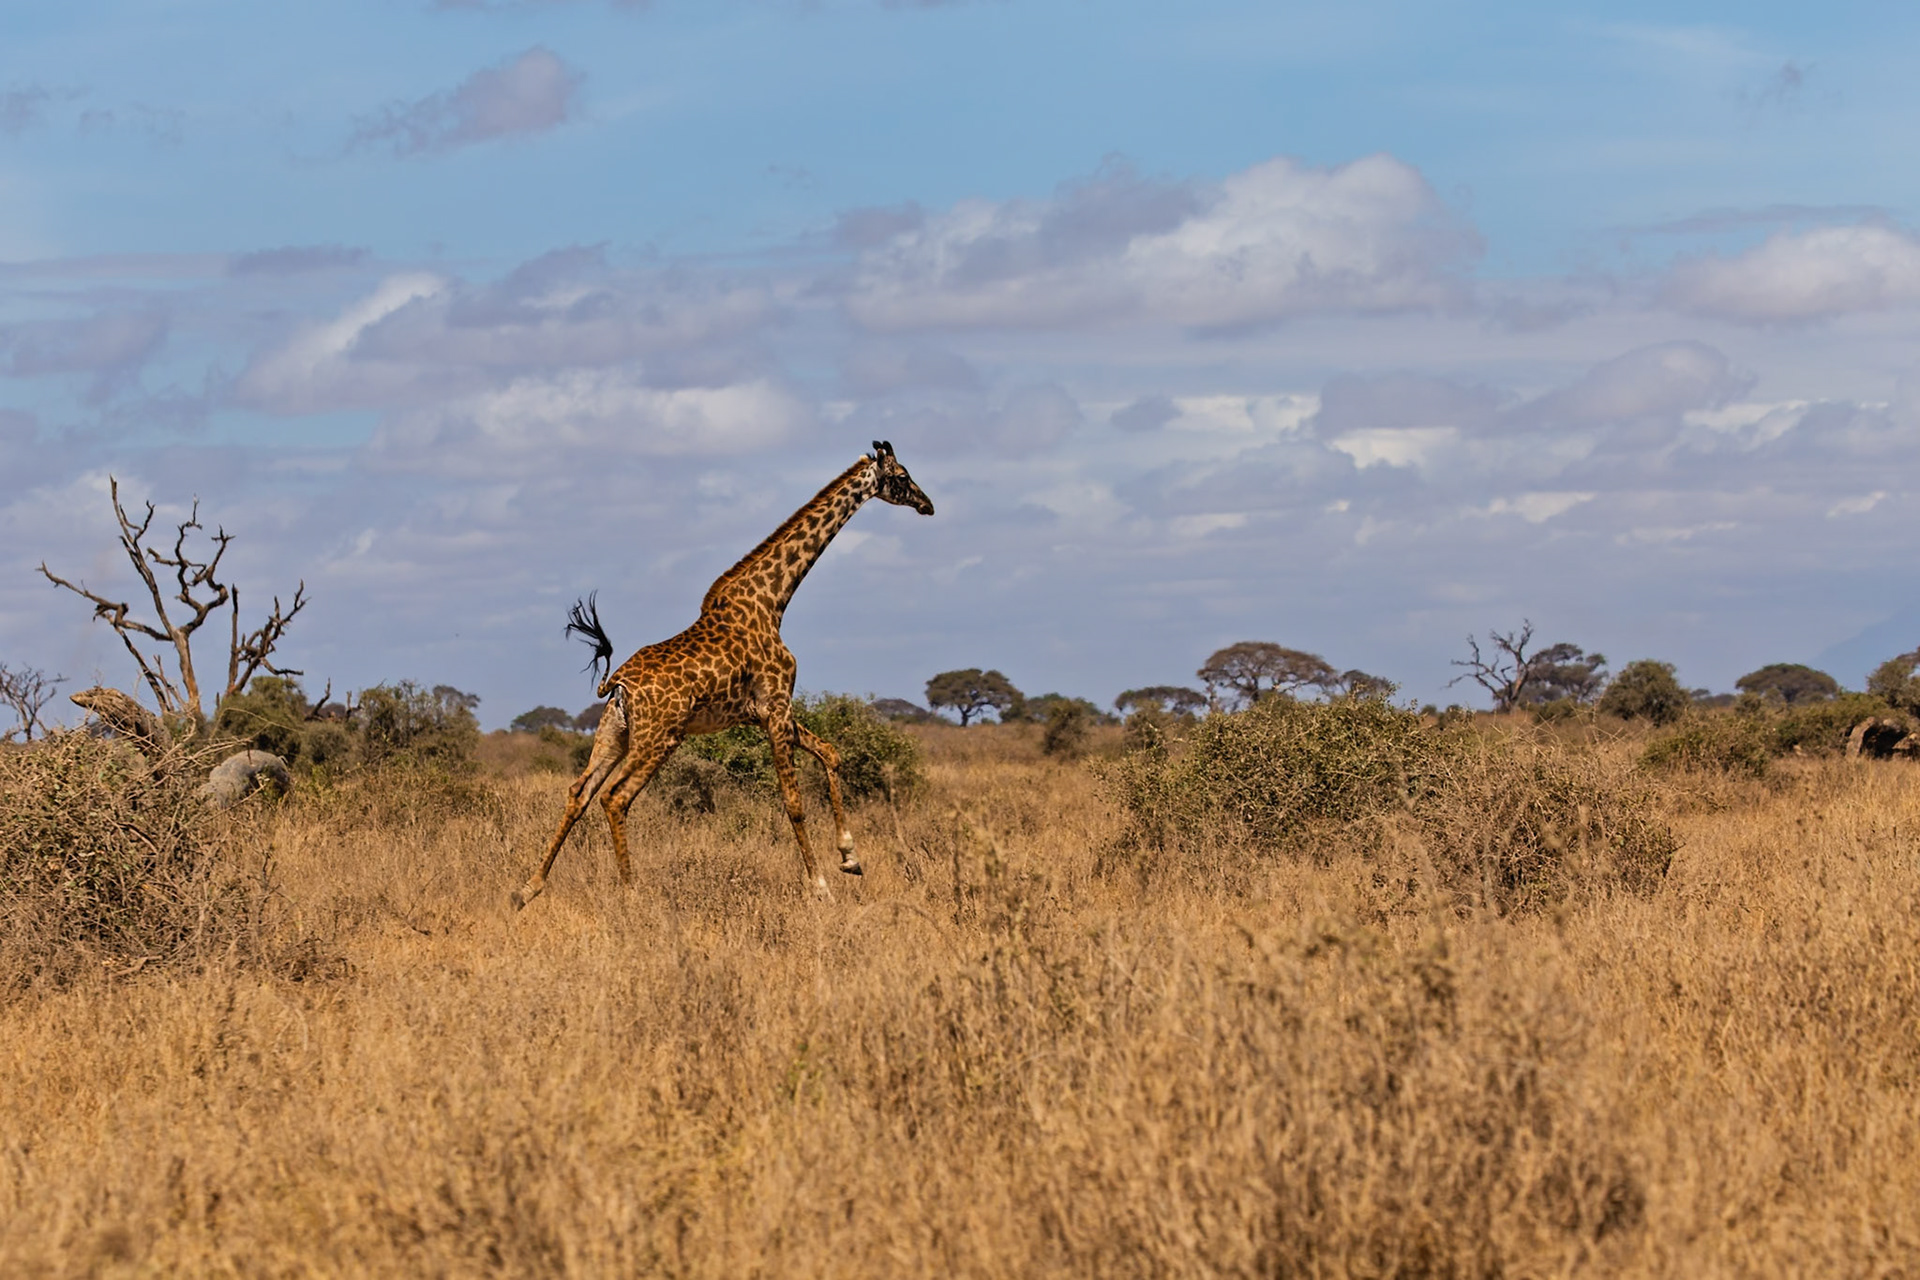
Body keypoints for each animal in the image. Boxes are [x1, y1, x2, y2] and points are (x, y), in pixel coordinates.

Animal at [510, 441, 935, 909]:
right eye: (901, 476)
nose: (927, 504)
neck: (772, 601)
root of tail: (618, 684)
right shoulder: (776, 706)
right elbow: (793, 800)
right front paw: (820, 886)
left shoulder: (767, 712)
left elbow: (831, 753)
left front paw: (850, 858)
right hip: (660, 737)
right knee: (615, 797)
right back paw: (632, 894)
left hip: (614, 733)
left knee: (579, 792)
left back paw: (527, 889)